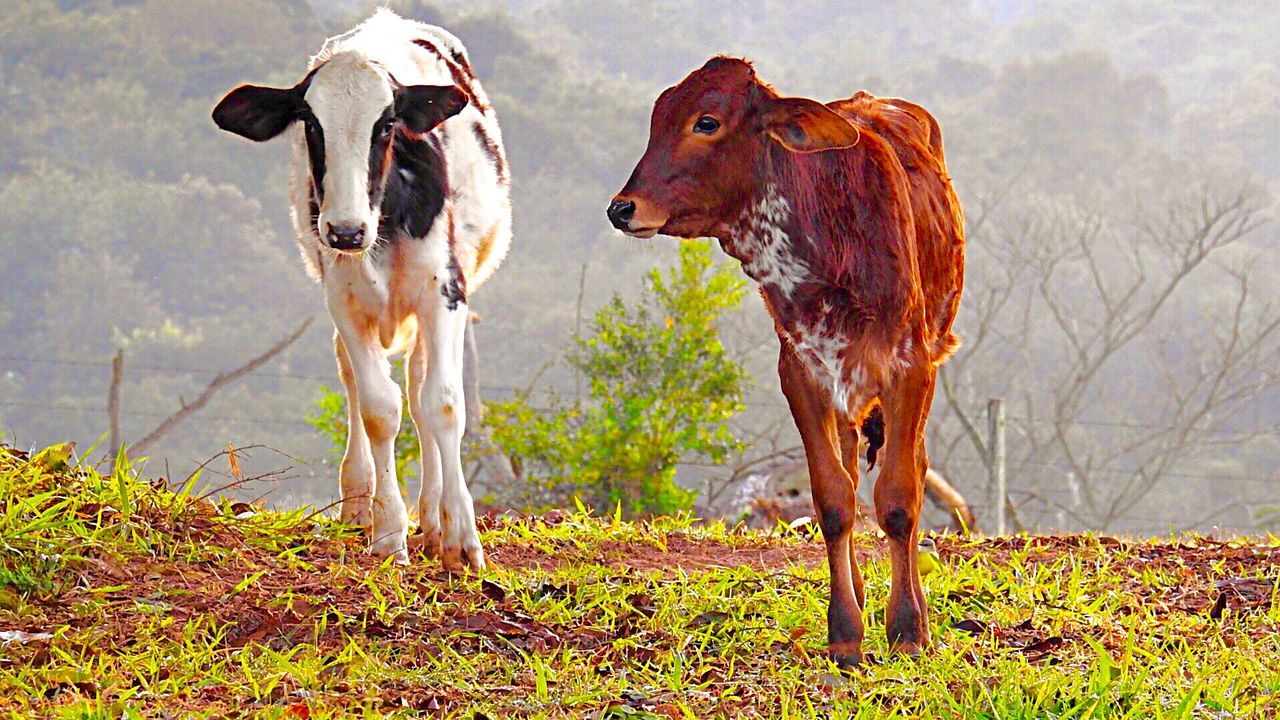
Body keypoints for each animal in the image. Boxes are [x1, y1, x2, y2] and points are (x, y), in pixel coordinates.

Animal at [212, 8, 506, 568]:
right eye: (310, 123)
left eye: (386, 124)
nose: (345, 231)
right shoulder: (344, 301)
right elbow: (378, 409)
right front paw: (389, 531)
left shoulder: (445, 293)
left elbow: (443, 404)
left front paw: (460, 537)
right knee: (357, 376)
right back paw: (359, 502)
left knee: (420, 385)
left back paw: (433, 517)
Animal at [606, 58, 962, 666]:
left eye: (707, 122)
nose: (622, 208)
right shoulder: (801, 373)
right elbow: (832, 499)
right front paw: (844, 631)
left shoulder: (910, 367)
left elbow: (898, 499)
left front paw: (909, 629)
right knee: (849, 473)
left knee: (911, 473)